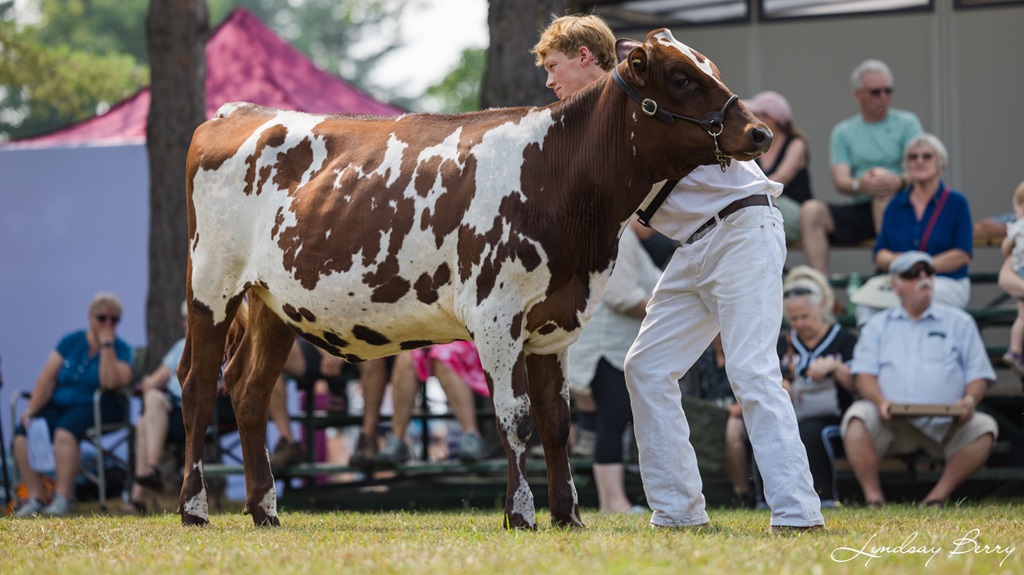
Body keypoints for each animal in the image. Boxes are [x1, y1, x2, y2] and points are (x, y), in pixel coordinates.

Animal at [177, 29, 772, 529]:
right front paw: (521, 514)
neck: (562, 177)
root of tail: (235, 112)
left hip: (273, 304)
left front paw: (568, 516)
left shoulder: (555, 323)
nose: (760, 130)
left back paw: (265, 511)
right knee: (200, 387)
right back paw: (194, 509)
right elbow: (516, 419)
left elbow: (557, 422)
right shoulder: (496, 317)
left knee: (248, 392)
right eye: (681, 77)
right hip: (211, 285)